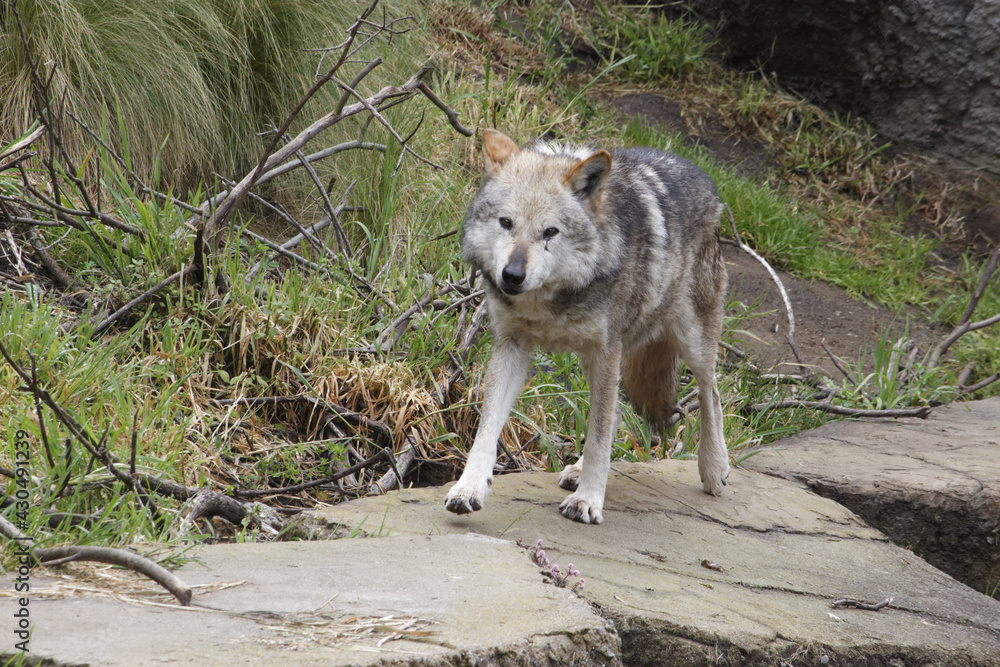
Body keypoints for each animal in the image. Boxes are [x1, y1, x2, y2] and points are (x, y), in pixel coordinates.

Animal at [444, 129, 729, 524]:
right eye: (506, 223)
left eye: (550, 232)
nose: (512, 276)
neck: (552, 301)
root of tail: (704, 176)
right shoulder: (512, 346)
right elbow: (487, 429)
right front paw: (468, 488)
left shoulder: (606, 350)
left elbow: (597, 437)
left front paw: (588, 501)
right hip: (598, 359)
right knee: (616, 415)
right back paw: (577, 470)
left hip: (689, 342)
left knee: (710, 393)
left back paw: (714, 470)